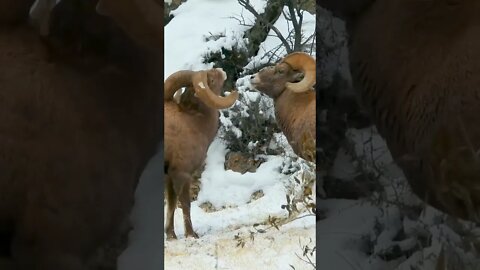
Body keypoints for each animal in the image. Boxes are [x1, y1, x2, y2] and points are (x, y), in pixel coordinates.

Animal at [164, 68, 239, 239]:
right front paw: (191, 235)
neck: (194, 123)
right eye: (210, 80)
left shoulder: (170, 178)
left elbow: (171, 204)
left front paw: (171, 235)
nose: (220, 70)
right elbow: (185, 204)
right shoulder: (182, 174)